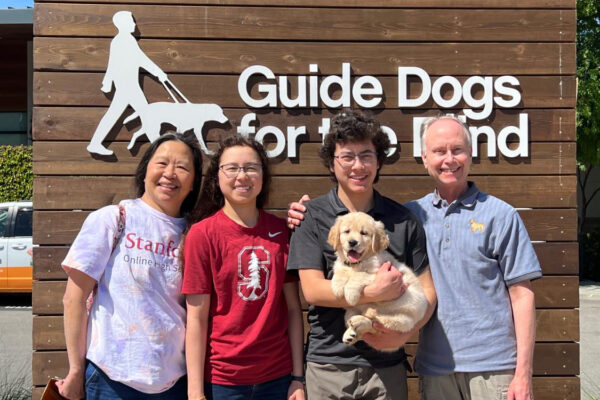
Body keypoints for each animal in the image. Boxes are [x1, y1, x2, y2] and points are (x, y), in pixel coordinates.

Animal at [328, 212, 426, 350]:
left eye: (364, 233)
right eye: (346, 231)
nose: (352, 242)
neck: (357, 263)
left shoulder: (379, 274)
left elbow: (359, 276)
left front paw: (350, 294)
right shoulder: (343, 265)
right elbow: (340, 272)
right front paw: (337, 287)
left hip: (401, 320)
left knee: (375, 323)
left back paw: (361, 320)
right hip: (350, 311)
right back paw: (351, 333)